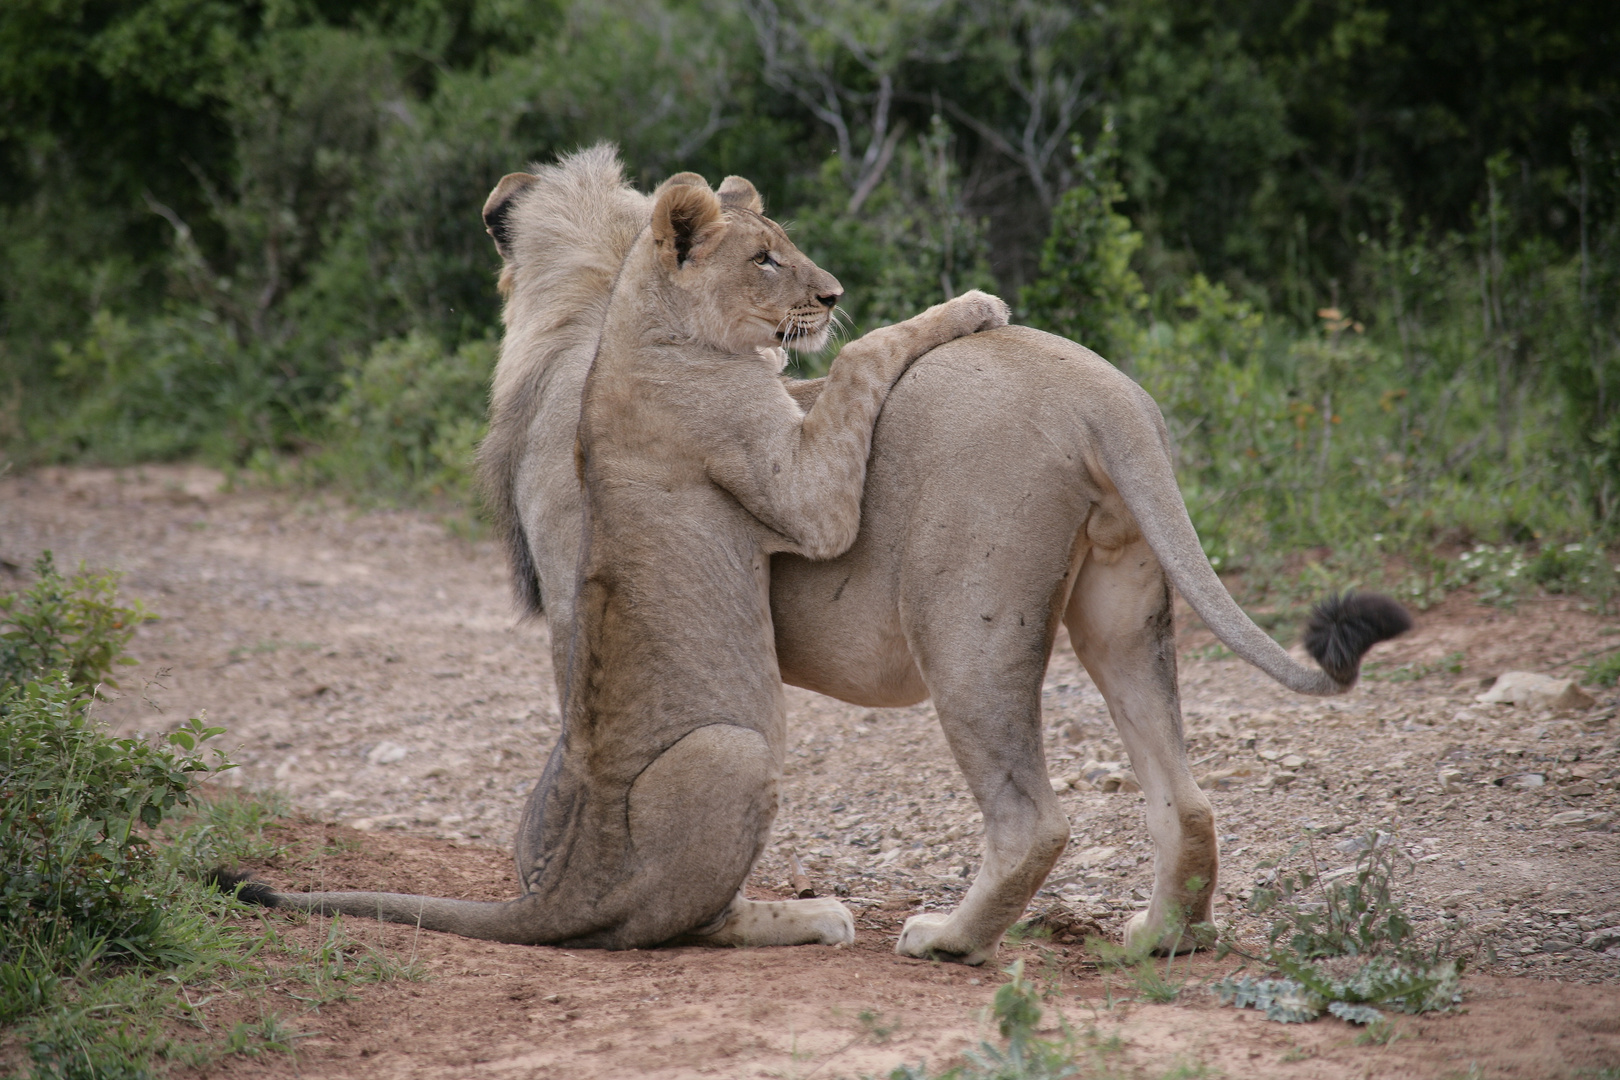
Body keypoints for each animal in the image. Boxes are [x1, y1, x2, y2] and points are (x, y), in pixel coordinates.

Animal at [228, 143, 1406, 965]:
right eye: (767, 253)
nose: (831, 293)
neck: (605, 316)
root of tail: (1103, 390)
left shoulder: (583, 593)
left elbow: (578, 749)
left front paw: (558, 874)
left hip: (965, 623)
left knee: (1030, 817)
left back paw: (949, 939)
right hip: (1120, 606)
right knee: (1184, 797)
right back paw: (1160, 938)